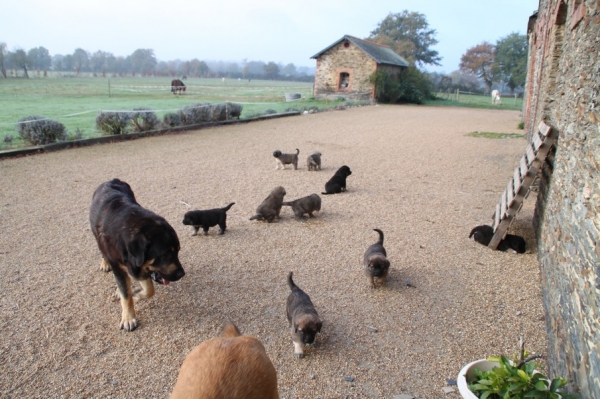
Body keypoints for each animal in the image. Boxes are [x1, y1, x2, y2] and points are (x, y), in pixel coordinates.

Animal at [89, 180, 185, 332]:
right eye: (165, 254)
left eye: (177, 251)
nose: (182, 274)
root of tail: (112, 180)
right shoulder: (120, 266)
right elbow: (126, 295)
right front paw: (128, 318)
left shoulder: (139, 267)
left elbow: (149, 290)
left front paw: (137, 295)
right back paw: (105, 264)